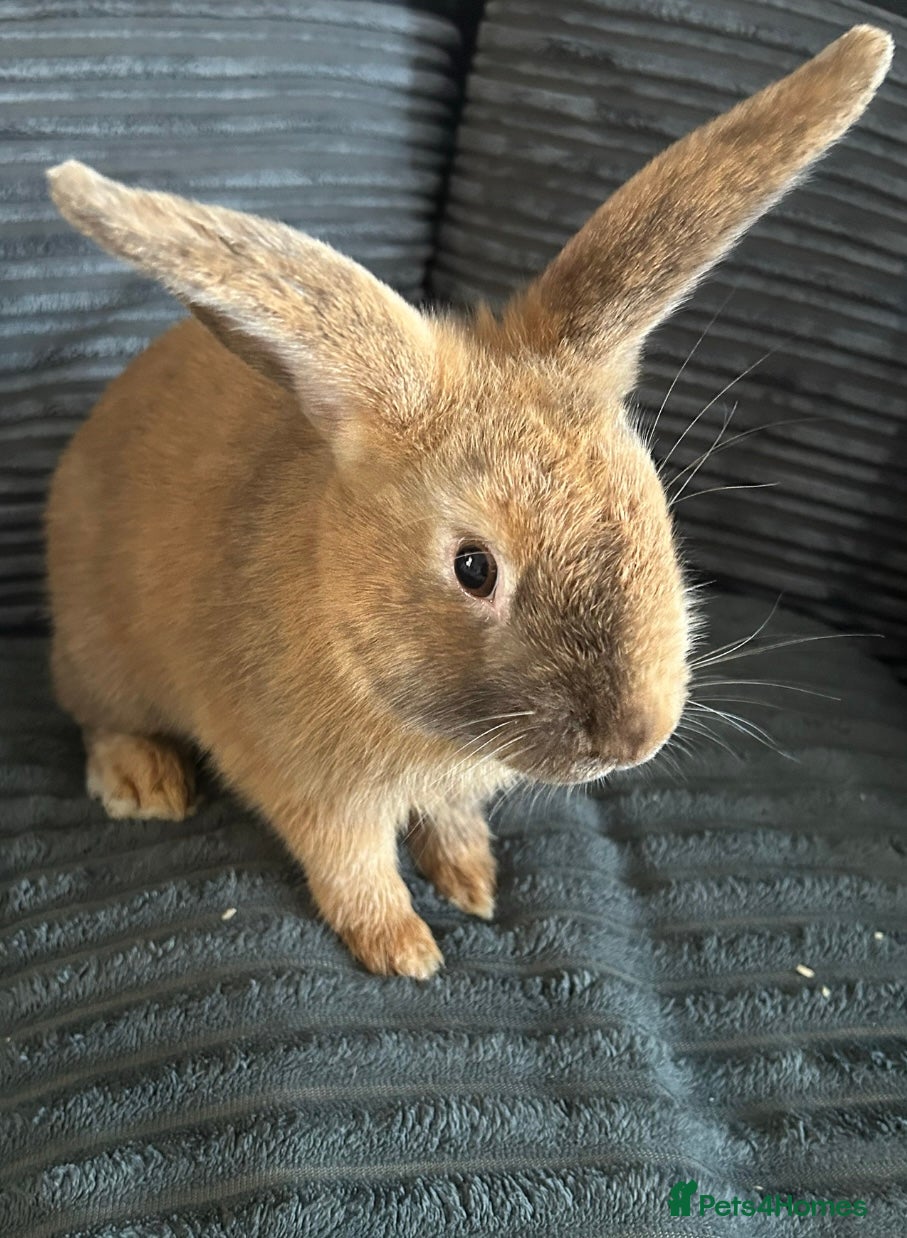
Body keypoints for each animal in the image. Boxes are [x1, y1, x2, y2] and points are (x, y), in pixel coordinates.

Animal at [45, 27, 892, 977]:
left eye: (653, 514)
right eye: (473, 568)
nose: (633, 739)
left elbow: (448, 820)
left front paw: (472, 880)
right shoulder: (315, 793)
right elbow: (351, 866)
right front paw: (404, 950)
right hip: (101, 650)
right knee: (94, 714)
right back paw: (144, 784)